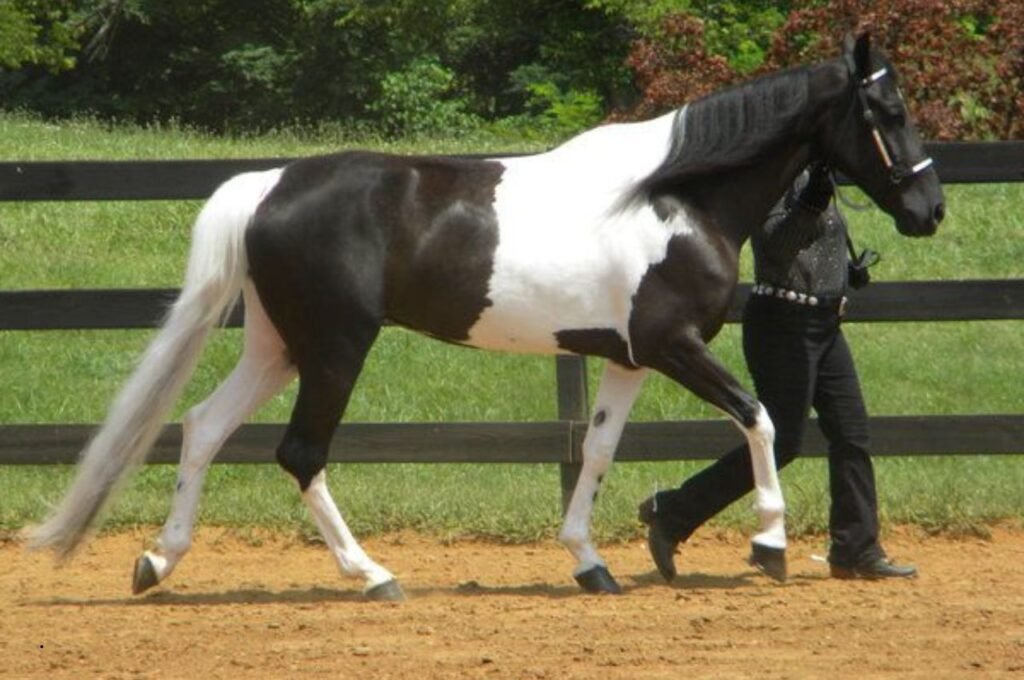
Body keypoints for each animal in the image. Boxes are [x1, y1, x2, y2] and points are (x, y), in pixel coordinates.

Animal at [29, 33, 944, 599]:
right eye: (889, 113)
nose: (929, 211)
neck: (675, 198)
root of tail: (269, 185)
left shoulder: (628, 357)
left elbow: (598, 452)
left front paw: (592, 563)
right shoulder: (673, 345)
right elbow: (759, 418)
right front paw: (770, 545)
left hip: (276, 345)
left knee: (202, 428)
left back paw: (156, 562)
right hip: (335, 348)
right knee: (299, 453)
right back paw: (374, 576)